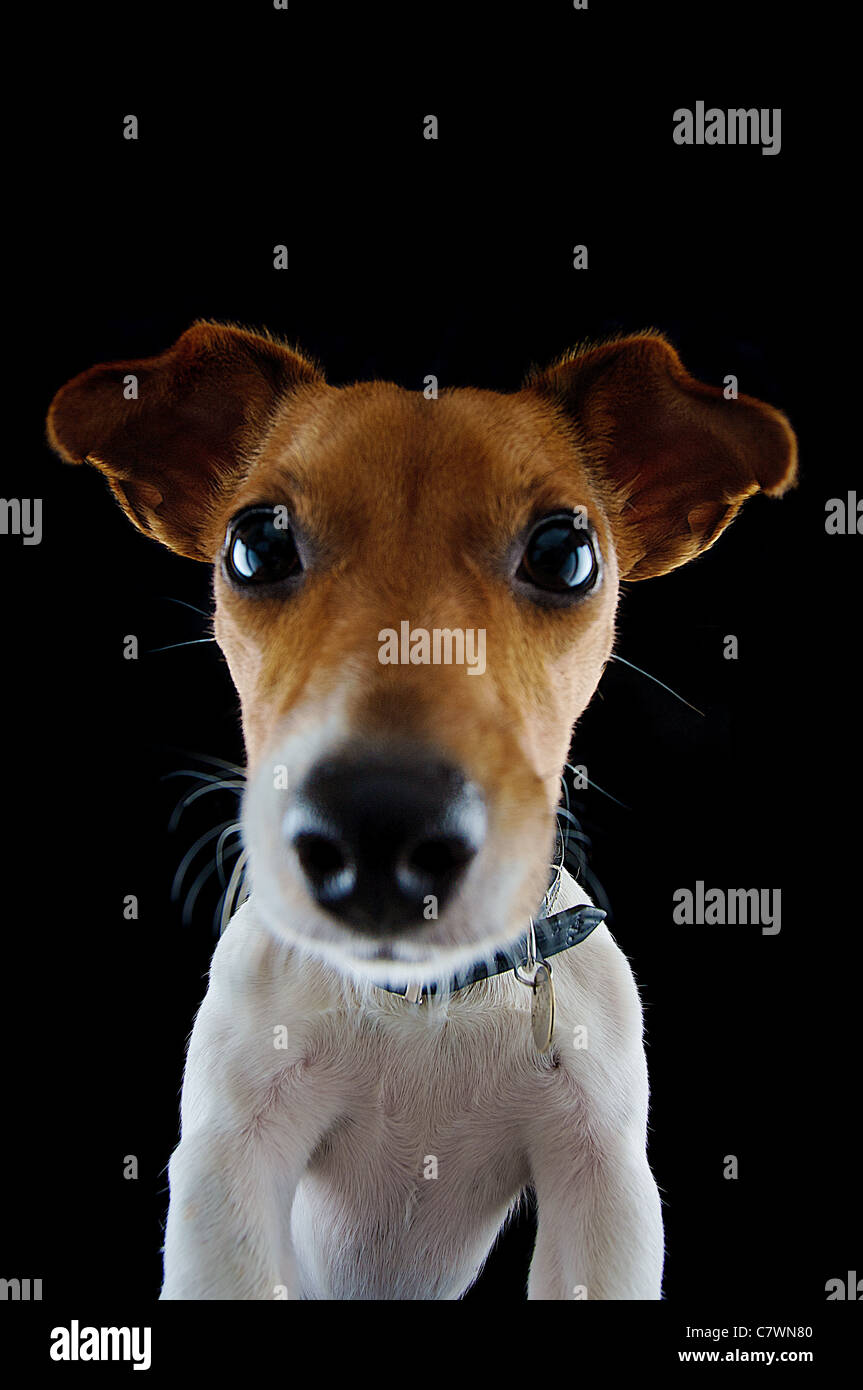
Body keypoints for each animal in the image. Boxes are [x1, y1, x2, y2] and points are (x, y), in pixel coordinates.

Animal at [47, 319, 794, 1295]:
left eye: (564, 554)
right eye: (257, 545)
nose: (379, 828)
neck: (422, 1002)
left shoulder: (601, 1187)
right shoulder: (229, 1166)